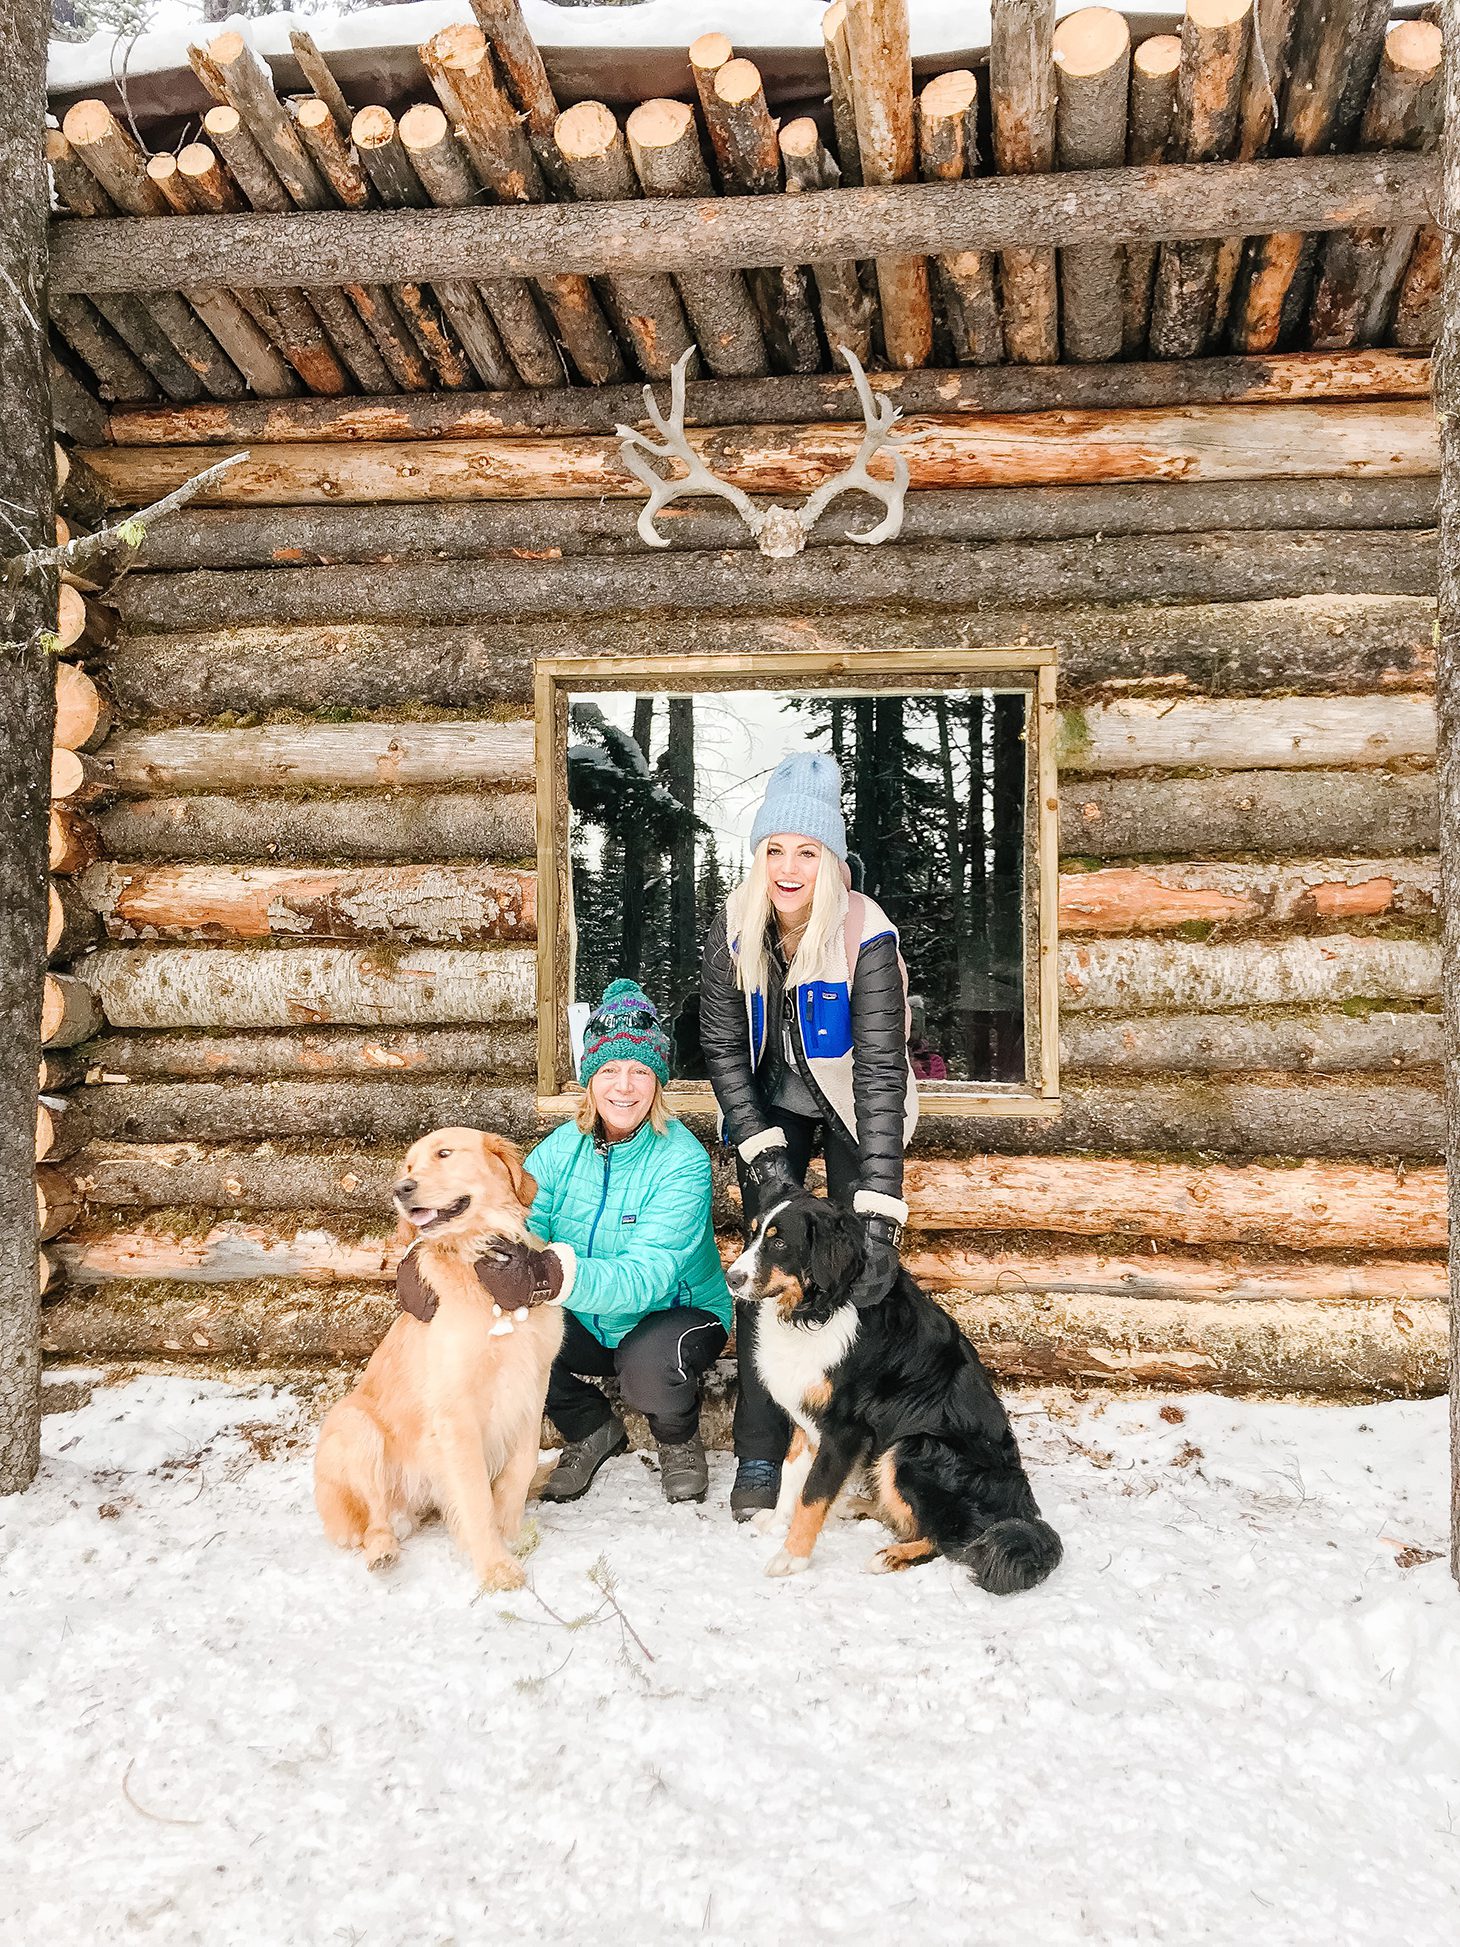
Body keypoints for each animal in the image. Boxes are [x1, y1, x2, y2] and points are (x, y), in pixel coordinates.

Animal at [728, 1183, 1066, 1596]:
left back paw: (890, 1555)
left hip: (912, 1448)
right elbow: (793, 1475)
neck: (820, 1309)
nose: (732, 1278)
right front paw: (778, 1522)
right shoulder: (805, 1414)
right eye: (753, 1234)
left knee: (951, 1538)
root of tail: (1023, 1512)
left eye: (778, 1243)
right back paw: (857, 1505)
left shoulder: (844, 1430)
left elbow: (813, 1494)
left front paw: (792, 1557)